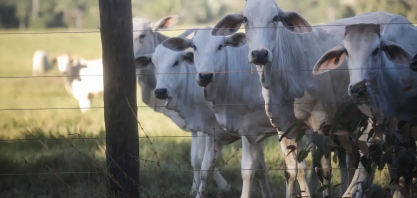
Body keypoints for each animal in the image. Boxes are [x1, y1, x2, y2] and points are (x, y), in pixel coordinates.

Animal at [132, 16, 232, 196]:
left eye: (142, 35)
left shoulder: (207, 121)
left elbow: (204, 158)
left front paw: (223, 186)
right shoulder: (194, 124)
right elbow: (195, 159)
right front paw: (194, 189)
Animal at [162, 27, 276, 198]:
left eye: (220, 46)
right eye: (194, 47)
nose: (205, 76)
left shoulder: (251, 130)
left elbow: (251, 169)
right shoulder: (213, 133)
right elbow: (206, 167)